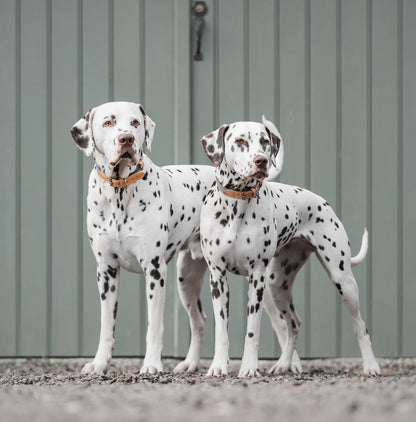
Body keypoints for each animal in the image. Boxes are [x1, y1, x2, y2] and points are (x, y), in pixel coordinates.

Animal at [70, 100, 218, 374]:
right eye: (108, 122)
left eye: (135, 122)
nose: (126, 139)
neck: (120, 191)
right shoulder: (106, 272)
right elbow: (106, 326)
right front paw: (98, 363)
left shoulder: (155, 270)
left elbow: (154, 327)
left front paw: (151, 364)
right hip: (186, 278)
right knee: (199, 321)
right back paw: (190, 364)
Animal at [201, 117, 380, 378]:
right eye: (240, 141)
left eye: (265, 141)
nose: (261, 160)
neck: (237, 205)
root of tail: (322, 201)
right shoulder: (218, 277)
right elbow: (221, 330)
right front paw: (217, 366)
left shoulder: (256, 278)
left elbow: (252, 331)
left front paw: (249, 367)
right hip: (277, 285)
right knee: (294, 324)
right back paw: (284, 364)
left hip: (343, 280)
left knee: (361, 326)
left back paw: (371, 366)